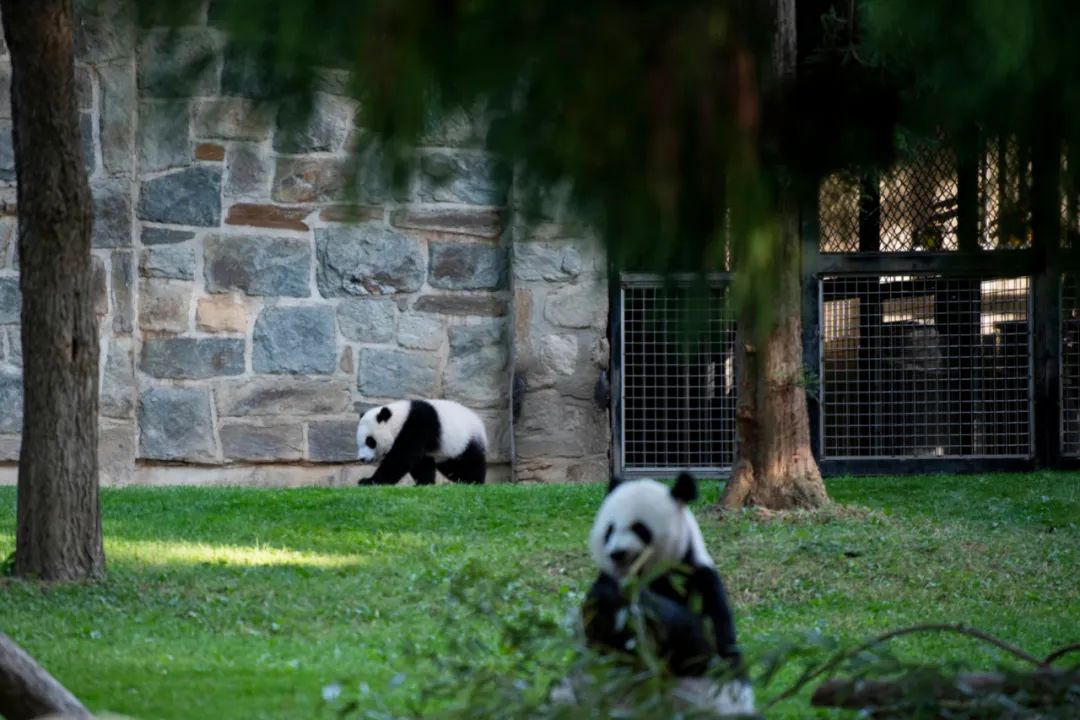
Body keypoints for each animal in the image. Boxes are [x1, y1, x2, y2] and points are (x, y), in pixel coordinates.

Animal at [354, 397, 490, 487]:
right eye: (359, 443)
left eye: (370, 441)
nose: (362, 458)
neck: (399, 419)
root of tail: (480, 423)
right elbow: (420, 463)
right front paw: (424, 483)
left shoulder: (417, 425)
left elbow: (400, 459)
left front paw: (368, 481)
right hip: (446, 453)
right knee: (452, 467)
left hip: (465, 440)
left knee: (470, 462)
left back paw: (474, 482)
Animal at [578, 472, 756, 716]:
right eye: (609, 530)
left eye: (639, 528)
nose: (618, 553)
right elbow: (602, 637)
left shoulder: (699, 582)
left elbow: (704, 645)